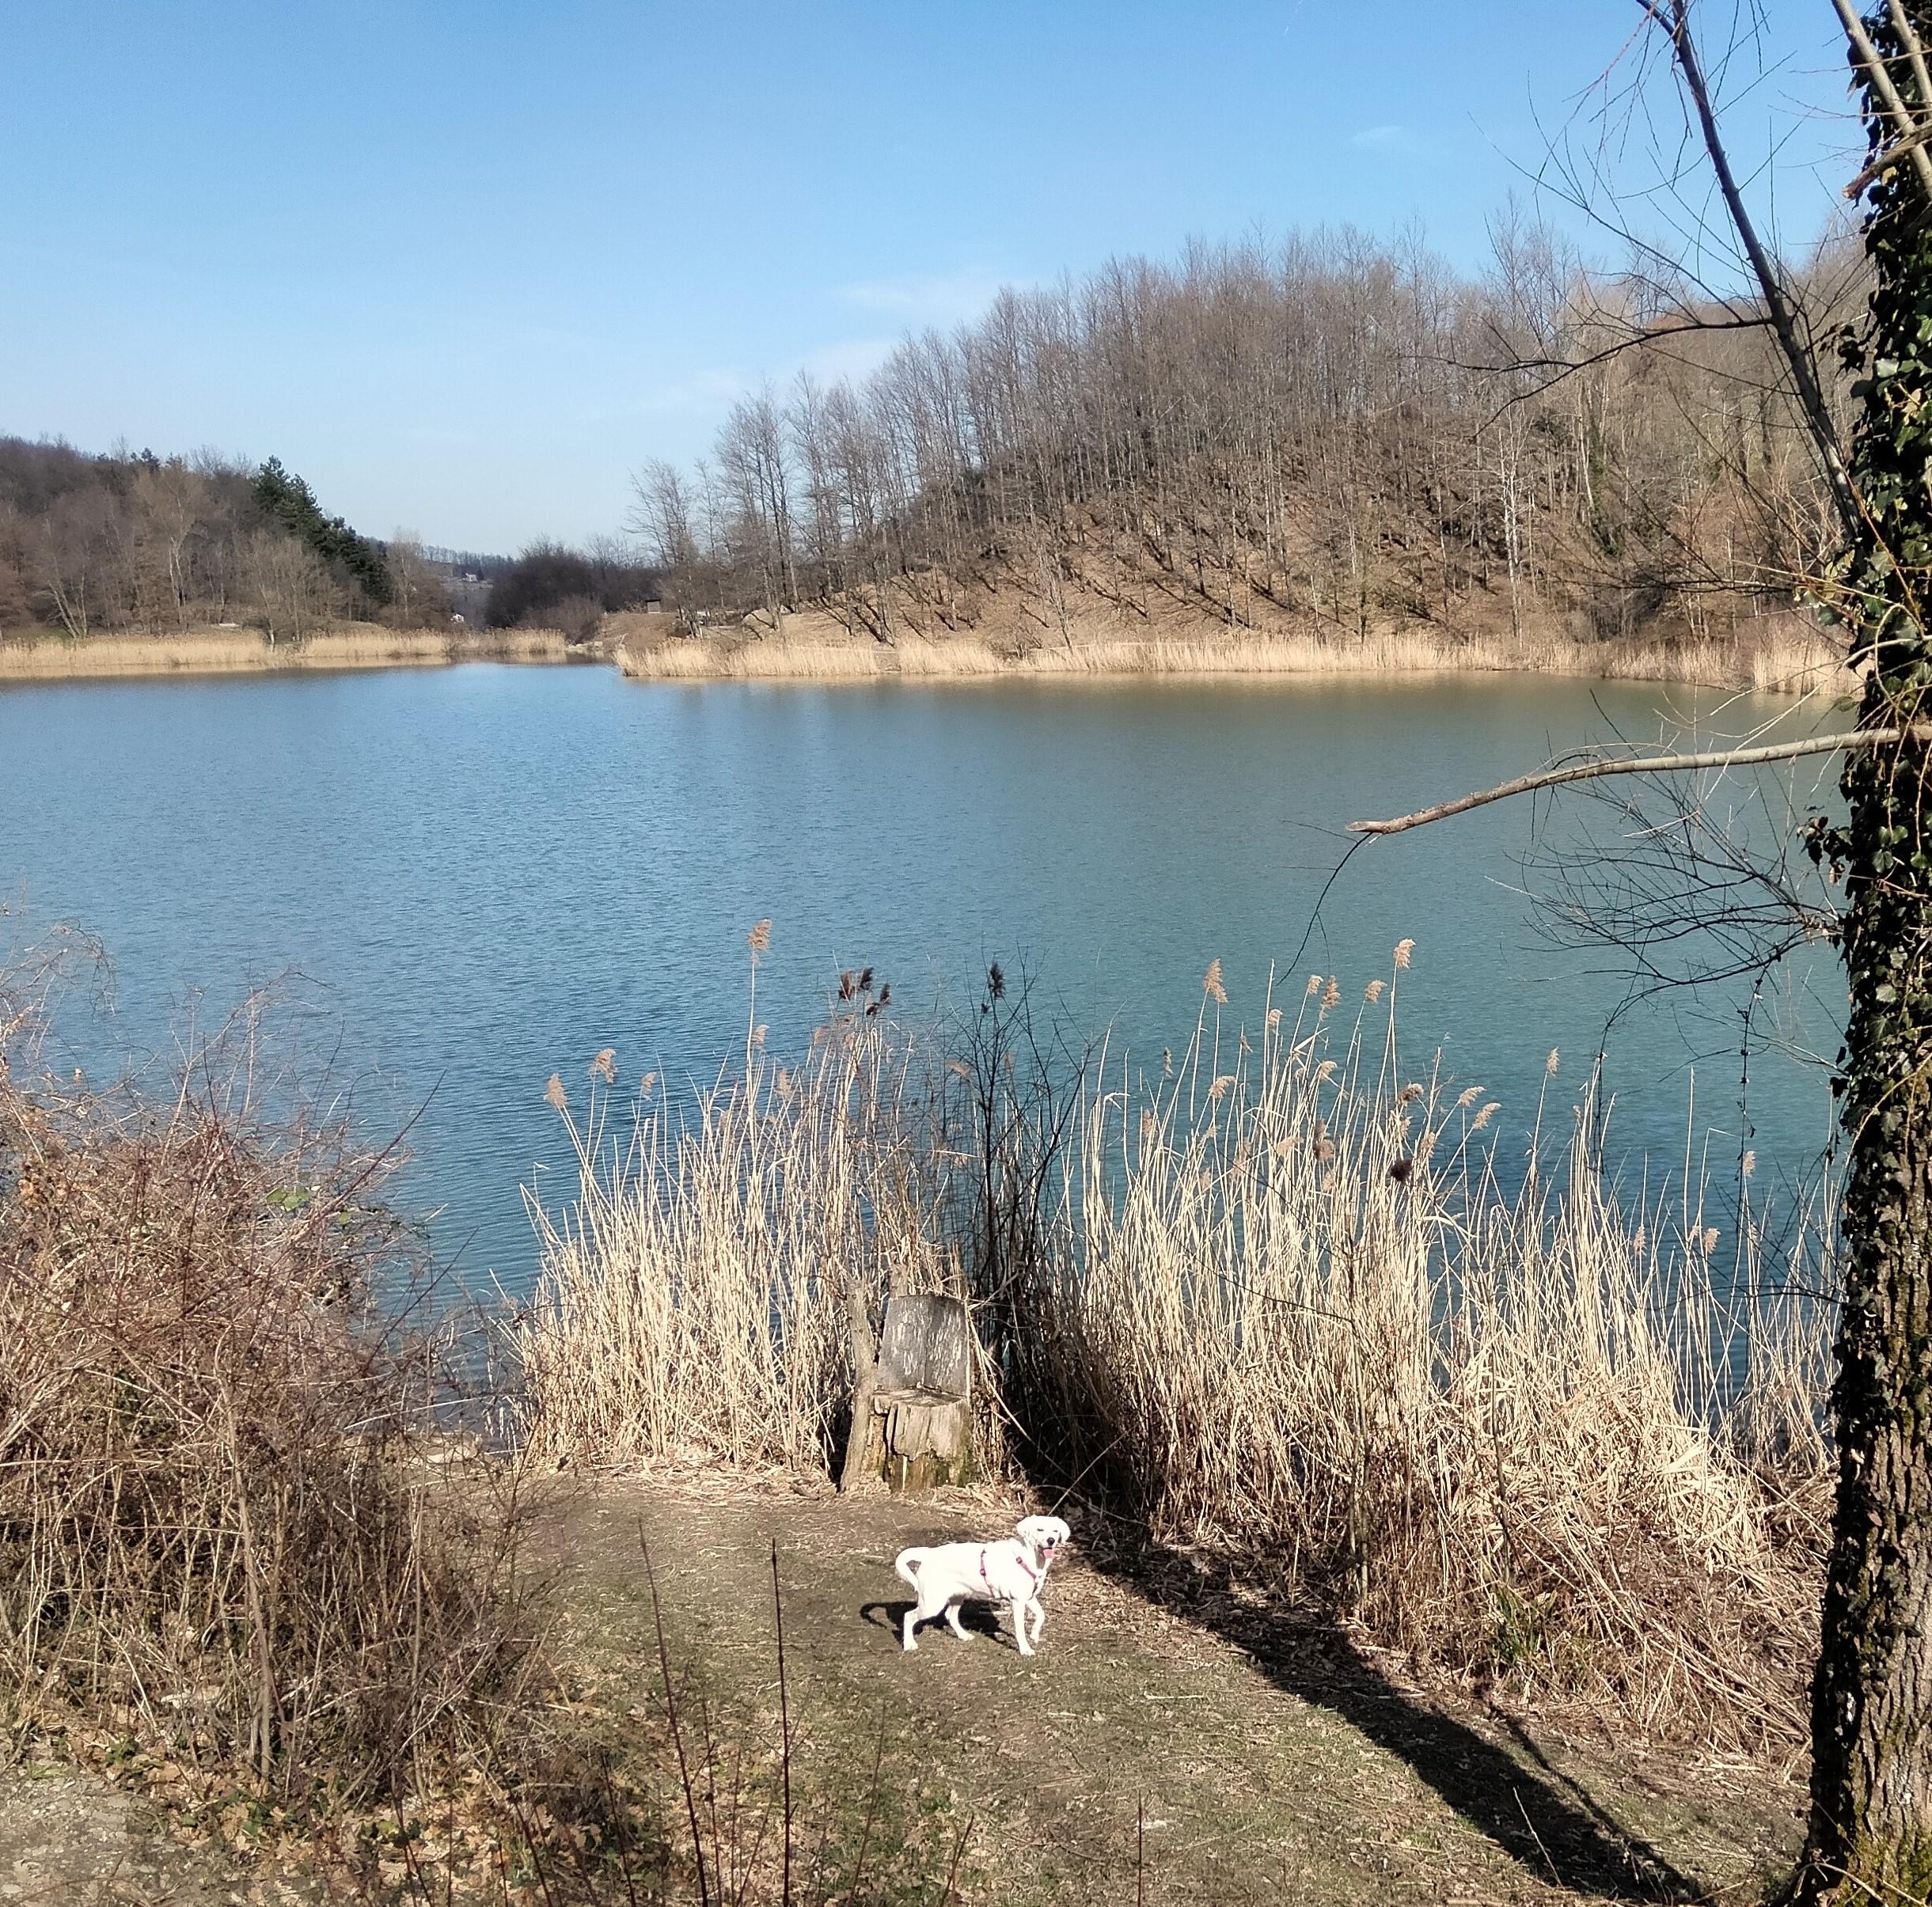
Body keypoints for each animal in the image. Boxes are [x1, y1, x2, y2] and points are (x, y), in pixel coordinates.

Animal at [892, 1522, 1074, 1654]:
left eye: (1055, 1530)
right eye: (1040, 1529)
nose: (1051, 1540)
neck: (1031, 1558)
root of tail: (929, 1554)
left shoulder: (1029, 1597)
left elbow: (1041, 1615)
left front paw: (1035, 1634)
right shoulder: (1018, 1601)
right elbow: (1020, 1630)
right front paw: (1025, 1649)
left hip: (958, 1595)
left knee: (950, 1615)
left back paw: (963, 1636)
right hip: (932, 1603)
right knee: (909, 1616)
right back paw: (909, 1645)